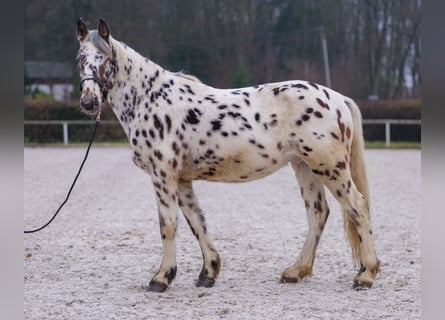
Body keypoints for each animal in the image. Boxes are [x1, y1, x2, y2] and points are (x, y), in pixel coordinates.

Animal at [75, 18, 378, 292]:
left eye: (104, 58)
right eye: (80, 59)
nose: (89, 102)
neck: (149, 100)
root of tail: (337, 98)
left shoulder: (163, 175)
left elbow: (168, 225)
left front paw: (162, 278)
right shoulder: (181, 180)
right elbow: (197, 222)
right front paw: (208, 273)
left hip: (329, 167)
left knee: (357, 207)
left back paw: (366, 275)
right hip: (304, 166)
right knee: (318, 213)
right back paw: (296, 271)